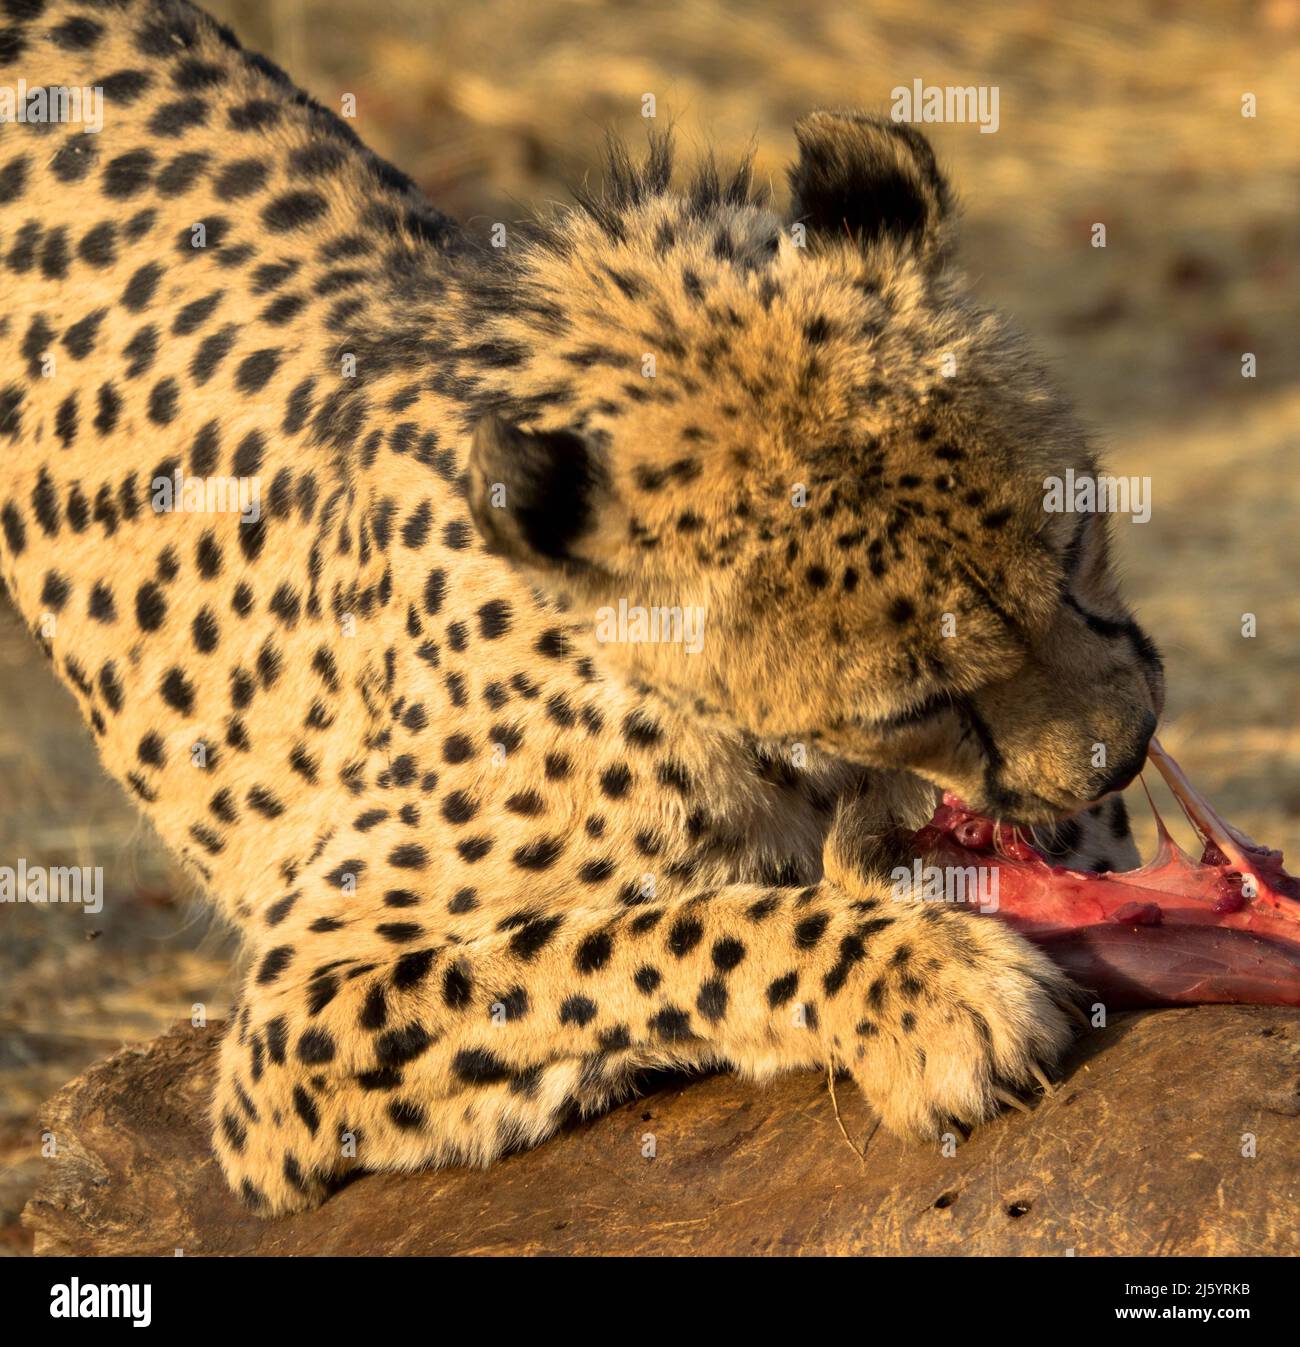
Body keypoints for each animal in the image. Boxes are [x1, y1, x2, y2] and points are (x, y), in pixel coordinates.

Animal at [0, 0, 1163, 1217]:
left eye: (1076, 540)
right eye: (911, 701)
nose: (1125, 751)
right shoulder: (297, 1021)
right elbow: (628, 941)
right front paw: (926, 986)